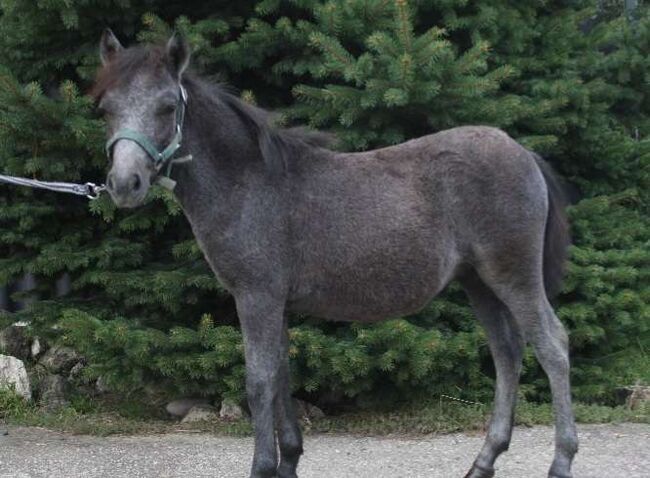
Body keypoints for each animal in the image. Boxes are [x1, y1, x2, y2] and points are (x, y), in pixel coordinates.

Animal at [93, 30, 576, 478]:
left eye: (167, 107)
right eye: (105, 109)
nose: (124, 185)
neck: (249, 182)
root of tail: (524, 153)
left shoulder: (256, 298)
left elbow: (259, 381)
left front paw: (263, 466)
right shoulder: (276, 303)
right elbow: (282, 375)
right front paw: (289, 460)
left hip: (513, 277)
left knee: (552, 345)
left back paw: (561, 461)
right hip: (479, 283)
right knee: (507, 352)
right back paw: (484, 460)